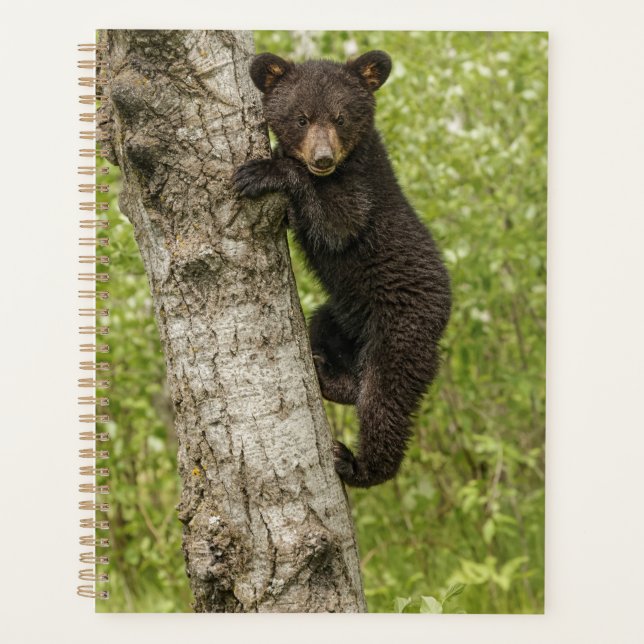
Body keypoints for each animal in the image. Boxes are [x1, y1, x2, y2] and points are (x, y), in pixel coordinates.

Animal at [233, 50, 452, 488]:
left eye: (340, 117)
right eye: (301, 118)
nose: (322, 158)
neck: (348, 162)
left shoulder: (363, 192)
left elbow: (338, 221)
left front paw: (263, 171)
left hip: (401, 332)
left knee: (385, 401)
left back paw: (358, 465)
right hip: (340, 316)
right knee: (330, 340)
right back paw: (328, 375)